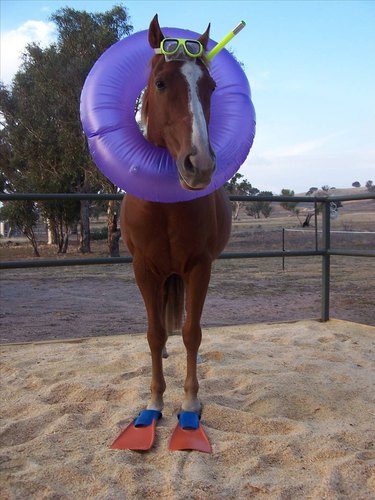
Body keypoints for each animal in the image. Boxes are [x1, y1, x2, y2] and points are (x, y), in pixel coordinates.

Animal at [121, 15, 232, 414]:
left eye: (210, 86)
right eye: (160, 82)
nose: (199, 164)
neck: (164, 209)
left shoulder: (199, 267)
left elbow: (192, 332)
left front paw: (190, 399)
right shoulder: (143, 269)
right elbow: (154, 334)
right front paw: (155, 399)